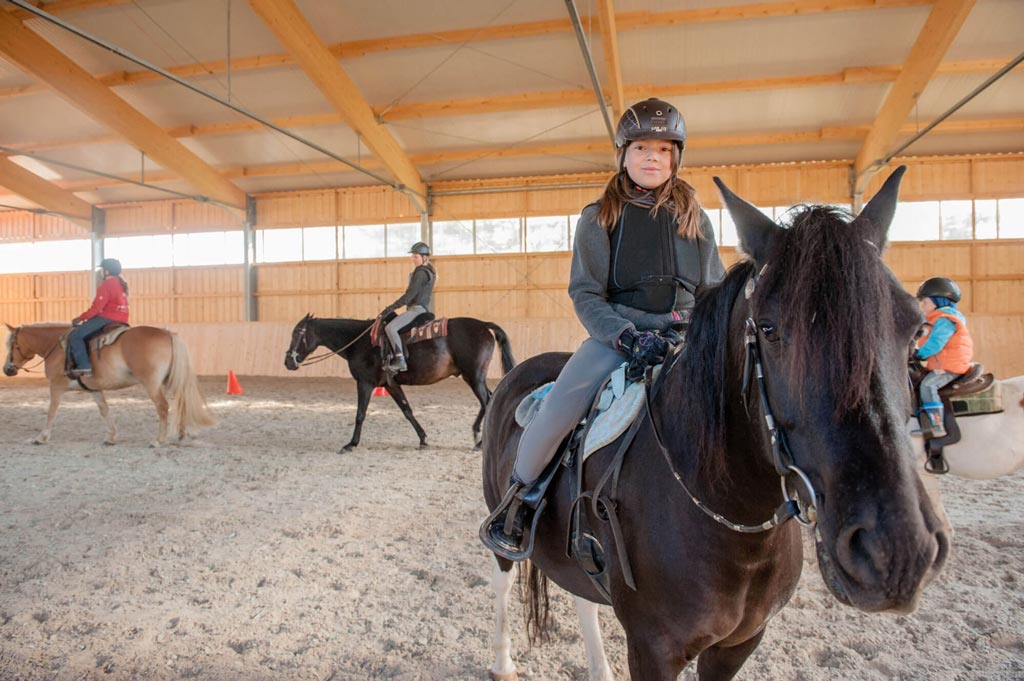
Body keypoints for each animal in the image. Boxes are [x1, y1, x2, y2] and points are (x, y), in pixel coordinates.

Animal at [4, 323, 215, 446]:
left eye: (12, 345)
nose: (7, 369)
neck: (56, 347)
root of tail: (167, 333)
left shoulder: (56, 387)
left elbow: (51, 412)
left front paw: (41, 437)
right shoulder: (94, 389)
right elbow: (104, 410)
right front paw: (111, 437)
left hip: (152, 383)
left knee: (163, 406)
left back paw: (159, 440)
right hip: (170, 379)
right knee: (182, 401)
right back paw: (181, 434)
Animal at [284, 313, 516, 450]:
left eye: (297, 333)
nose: (287, 361)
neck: (359, 341)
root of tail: (483, 325)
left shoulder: (365, 383)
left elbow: (360, 414)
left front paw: (351, 443)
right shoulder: (391, 385)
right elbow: (407, 410)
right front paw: (423, 438)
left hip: (474, 377)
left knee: (487, 401)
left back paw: (480, 440)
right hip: (475, 378)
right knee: (491, 399)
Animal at [479, 165, 950, 679]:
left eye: (914, 326)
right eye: (768, 329)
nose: (895, 554)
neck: (735, 520)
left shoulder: (739, 644)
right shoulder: (652, 649)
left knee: (582, 596)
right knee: (502, 583)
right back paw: (503, 661)